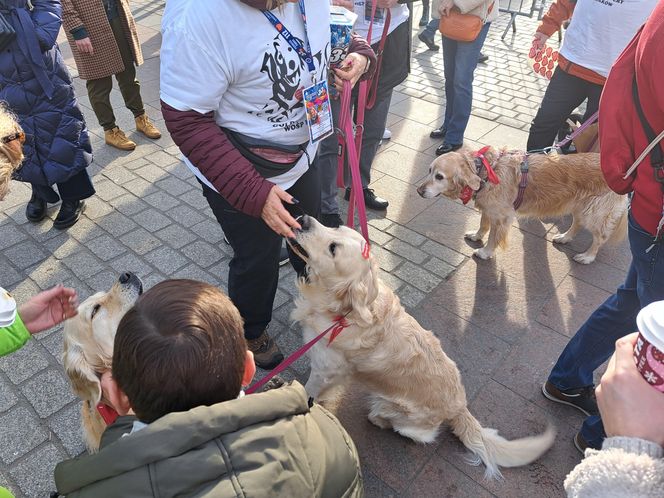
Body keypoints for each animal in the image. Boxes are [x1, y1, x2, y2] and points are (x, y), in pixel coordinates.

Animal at [290, 217, 556, 478]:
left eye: (333, 248)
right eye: (336, 226)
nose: (304, 219)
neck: (343, 310)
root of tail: (459, 406)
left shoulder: (325, 369)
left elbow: (308, 391)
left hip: (401, 414)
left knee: (412, 431)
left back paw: (379, 419)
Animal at [418, 147, 624, 264]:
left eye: (439, 177)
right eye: (429, 170)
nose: (419, 191)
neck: (485, 170)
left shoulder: (501, 217)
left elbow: (493, 237)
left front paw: (485, 252)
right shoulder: (490, 209)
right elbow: (483, 224)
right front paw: (476, 236)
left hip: (595, 212)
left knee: (599, 237)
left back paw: (587, 257)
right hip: (580, 205)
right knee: (577, 223)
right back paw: (564, 237)